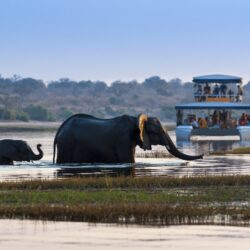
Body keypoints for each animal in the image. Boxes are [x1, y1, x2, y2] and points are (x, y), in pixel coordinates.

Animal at [53, 113, 203, 164]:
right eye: (158, 131)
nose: (202, 156)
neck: (135, 120)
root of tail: (60, 130)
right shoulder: (123, 139)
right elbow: (129, 161)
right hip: (66, 144)